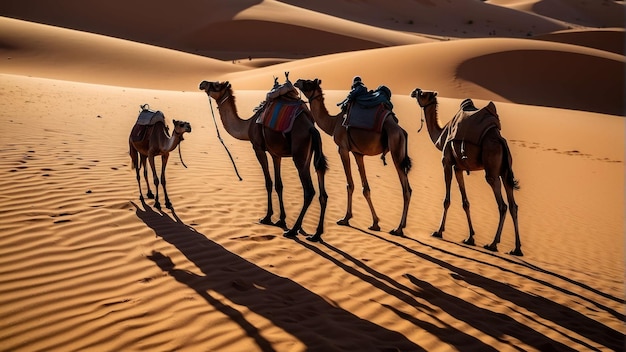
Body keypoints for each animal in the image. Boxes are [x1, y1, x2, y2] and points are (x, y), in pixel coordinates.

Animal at [199, 79, 326, 242]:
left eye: (216, 85)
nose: (202, 83)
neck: (247, 125)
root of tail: (312, 128)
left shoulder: (258, 148)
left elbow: (268, 183)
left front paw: (267, 217)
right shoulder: (275, 154)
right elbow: (279, 185)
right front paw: (281, 219)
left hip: (300, 155)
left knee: (309, 191)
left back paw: (293, 230)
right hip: (310, 155)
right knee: (322, 187)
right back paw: (316, 234)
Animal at [294, 77, 412, 236]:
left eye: (308, 83)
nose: (297, 81)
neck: (333, 123)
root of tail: (402, 131)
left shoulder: (343, 149)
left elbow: (349, 184)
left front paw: (345, 218)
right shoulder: (358, 153)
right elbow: (365, 188)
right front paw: (375, 223)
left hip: (396, 149)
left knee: (406, 190)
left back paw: (398, 228)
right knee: (408, 189)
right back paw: (402, 226)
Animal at [410, 88, 520, 256]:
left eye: (423, 94)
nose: (414, 91)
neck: (441, 135)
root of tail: (501, 140)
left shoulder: (447, 163)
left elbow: (447, 200)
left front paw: (438, 231)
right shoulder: (459, 168)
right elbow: (465, 202)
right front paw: (470, 238)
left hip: (492, 170)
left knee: (503, 205)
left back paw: (493, 244)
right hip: (505, 171)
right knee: (513, 205)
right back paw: (516, 249)